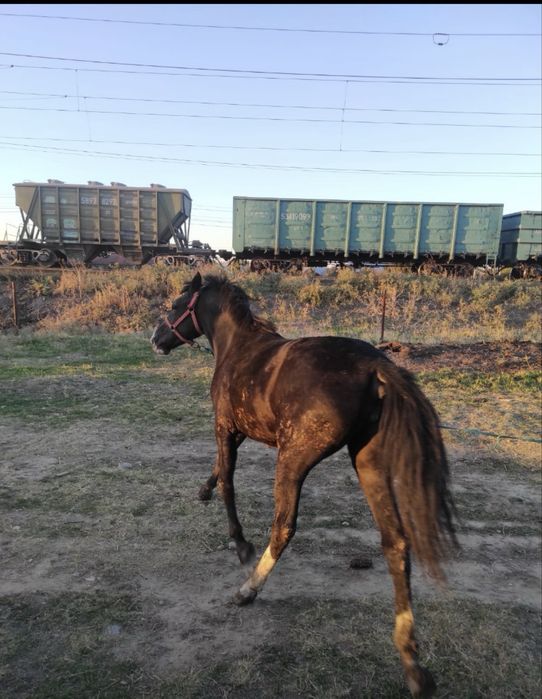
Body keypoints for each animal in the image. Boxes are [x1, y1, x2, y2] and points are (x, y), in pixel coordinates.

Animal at [151, 271, 458, 698]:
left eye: (177, 305)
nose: (155, 339)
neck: (239, 348)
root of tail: (376, 367)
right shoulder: (241, 431)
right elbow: (218, 470)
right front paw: (203, 489)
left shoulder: (225, 426)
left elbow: (228, 480)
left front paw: (239, 543)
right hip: (368, 462)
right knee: (396, 543)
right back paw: (412, 664)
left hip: (293, 459)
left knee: (284, 527)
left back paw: (248, 588)